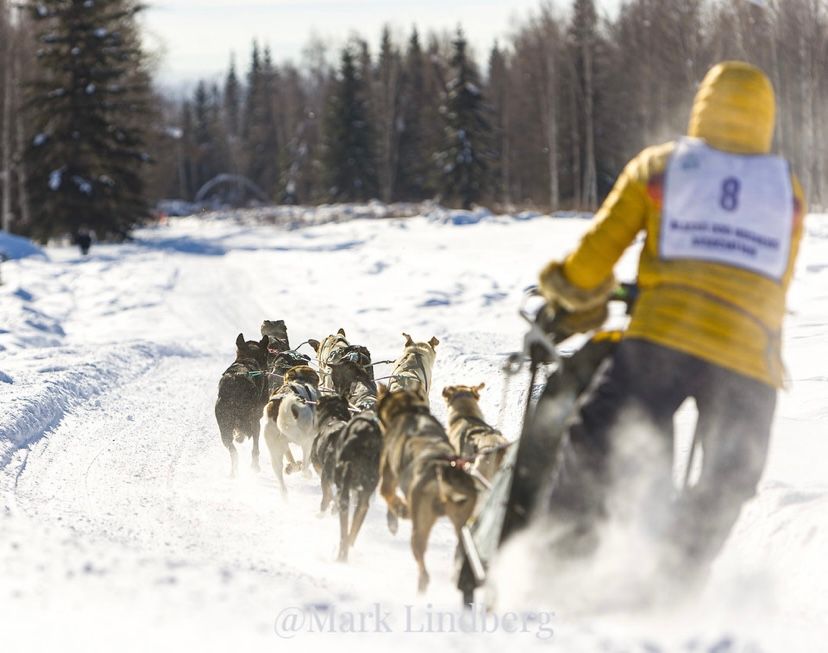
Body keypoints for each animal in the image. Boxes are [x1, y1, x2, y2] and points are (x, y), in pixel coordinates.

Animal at [376, 384, 476, 592]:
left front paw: (399, 509)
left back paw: (422, 583)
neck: (409, 410)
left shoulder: (388, 475)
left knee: (421, 560)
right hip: (462, 526)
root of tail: (442, 471)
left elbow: (386, 493)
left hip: (420, 526)